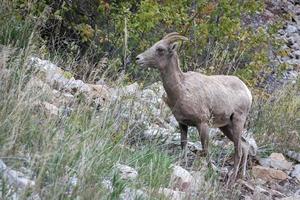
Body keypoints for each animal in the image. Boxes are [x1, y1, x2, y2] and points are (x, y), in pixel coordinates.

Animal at [137, 32, 252, 181]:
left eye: (160, 49)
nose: (138, 59)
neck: (181, 90)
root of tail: (247, 92)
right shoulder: (182, 124)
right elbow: (183, 145)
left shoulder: (202, 124)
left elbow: (205, 149)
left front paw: (211, 172)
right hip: (226, 126)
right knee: (245, 145)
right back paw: (241, 176)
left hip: (238, 121)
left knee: (238, 149)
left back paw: (232, 178)